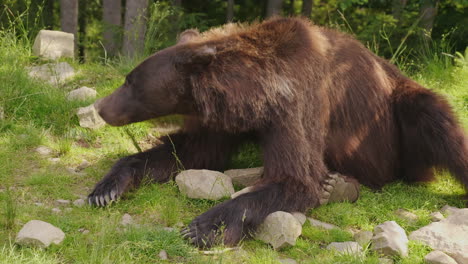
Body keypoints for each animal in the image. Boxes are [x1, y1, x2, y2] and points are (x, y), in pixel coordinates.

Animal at [88, 17, 468, 248]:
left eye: (130, 81)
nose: (101, 107)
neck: (253, 97)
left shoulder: (296, 106)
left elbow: (295, 178)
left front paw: (201, 227)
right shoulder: (222, 119)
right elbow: (191, 151)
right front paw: (105, 189)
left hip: (399, 111)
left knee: (438, 122)